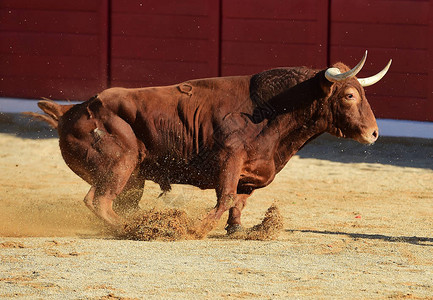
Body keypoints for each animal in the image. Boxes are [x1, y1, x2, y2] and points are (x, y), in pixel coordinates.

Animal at [28, 50, 390, 236]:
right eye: (349, 95)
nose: (374, 134)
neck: (271, 110)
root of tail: (69, 111)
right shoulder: (229, 158)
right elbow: (225, 196)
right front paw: (198, 228)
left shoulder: (251, 172)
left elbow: (238, 202)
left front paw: (238, 229)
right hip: (120, 163)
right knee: (99, 200)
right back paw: (142, 228)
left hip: (133, 178)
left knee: (113, 201)